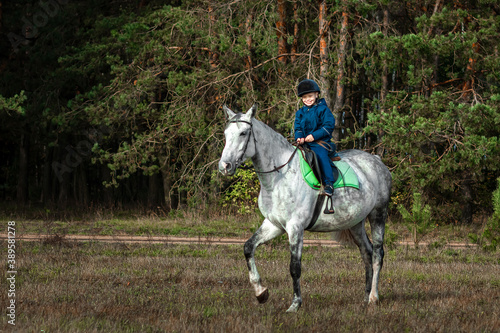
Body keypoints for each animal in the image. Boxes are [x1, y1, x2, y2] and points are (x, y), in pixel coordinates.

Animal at [218, 104, 390, 312]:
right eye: (226, 133)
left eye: (243, 133)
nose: (224, 166)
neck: (279, 177)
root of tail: (377, 160)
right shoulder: (273, 225)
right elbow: (248, 247)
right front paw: (261, 292)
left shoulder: (295, 227)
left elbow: (295, 267)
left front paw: (295, 304)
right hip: (356, 223)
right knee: (366, 252)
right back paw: (365, 297)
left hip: (378, 215)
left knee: (377, 254)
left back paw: (373, 297)